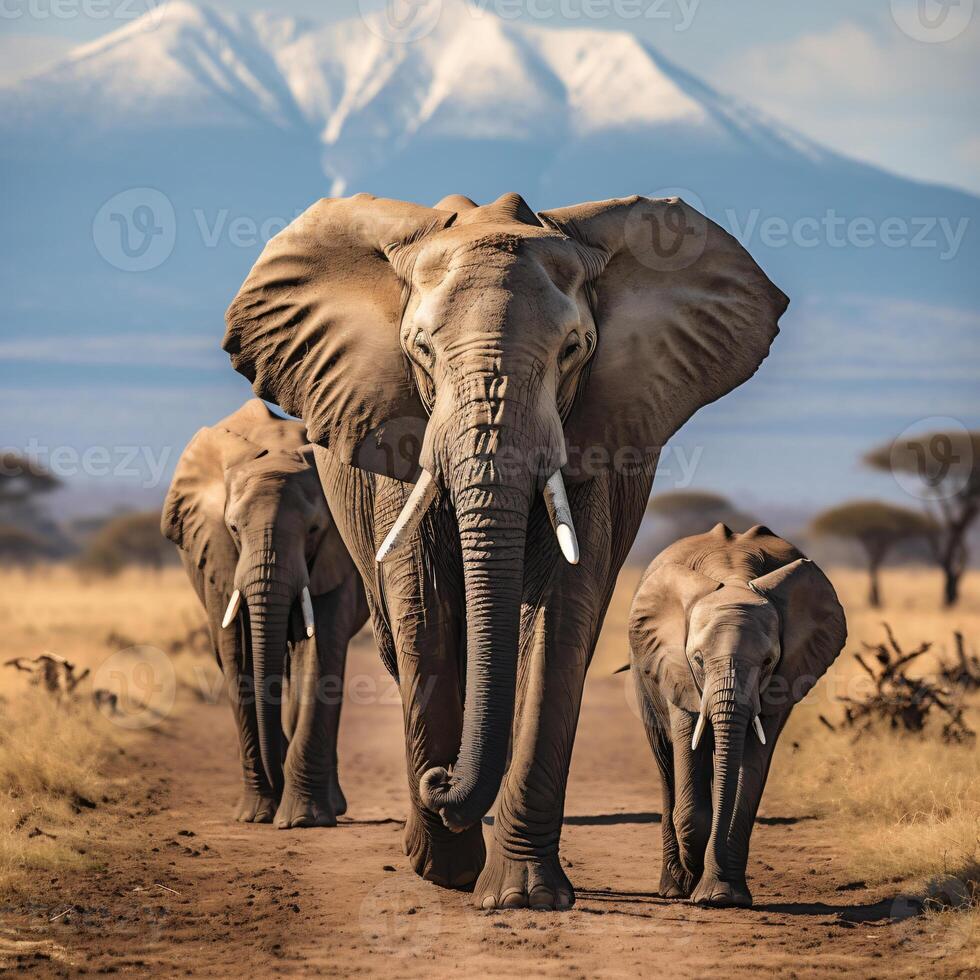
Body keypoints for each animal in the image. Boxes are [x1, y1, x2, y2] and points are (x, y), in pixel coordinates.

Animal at [161, 398, 368, 828]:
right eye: (233, 528)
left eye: (314, 529)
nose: (277, 776)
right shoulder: (217, 555)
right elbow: (236, 653)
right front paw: (257, 815)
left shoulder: (337, 553)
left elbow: (321, 650)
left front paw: (302, 820)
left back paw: (329, 802)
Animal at [222, 189, 788, 912]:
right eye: (420, 349)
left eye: (575, 348)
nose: (439, 781)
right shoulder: (396, 434)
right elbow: (424, 606)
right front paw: (446, 869)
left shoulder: (593, 440)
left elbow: (561, 616)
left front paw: (521, 895)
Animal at [632, 524, 848, 908]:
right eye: (698, 659)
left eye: (767, 661)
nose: (696, 882)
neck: (732, 575)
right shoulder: (676, 667)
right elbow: (687, 747)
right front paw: (696, 880)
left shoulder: (780, 679)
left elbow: (749, 770)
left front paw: (720, 896)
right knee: (665, 761)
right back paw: (674, 888)